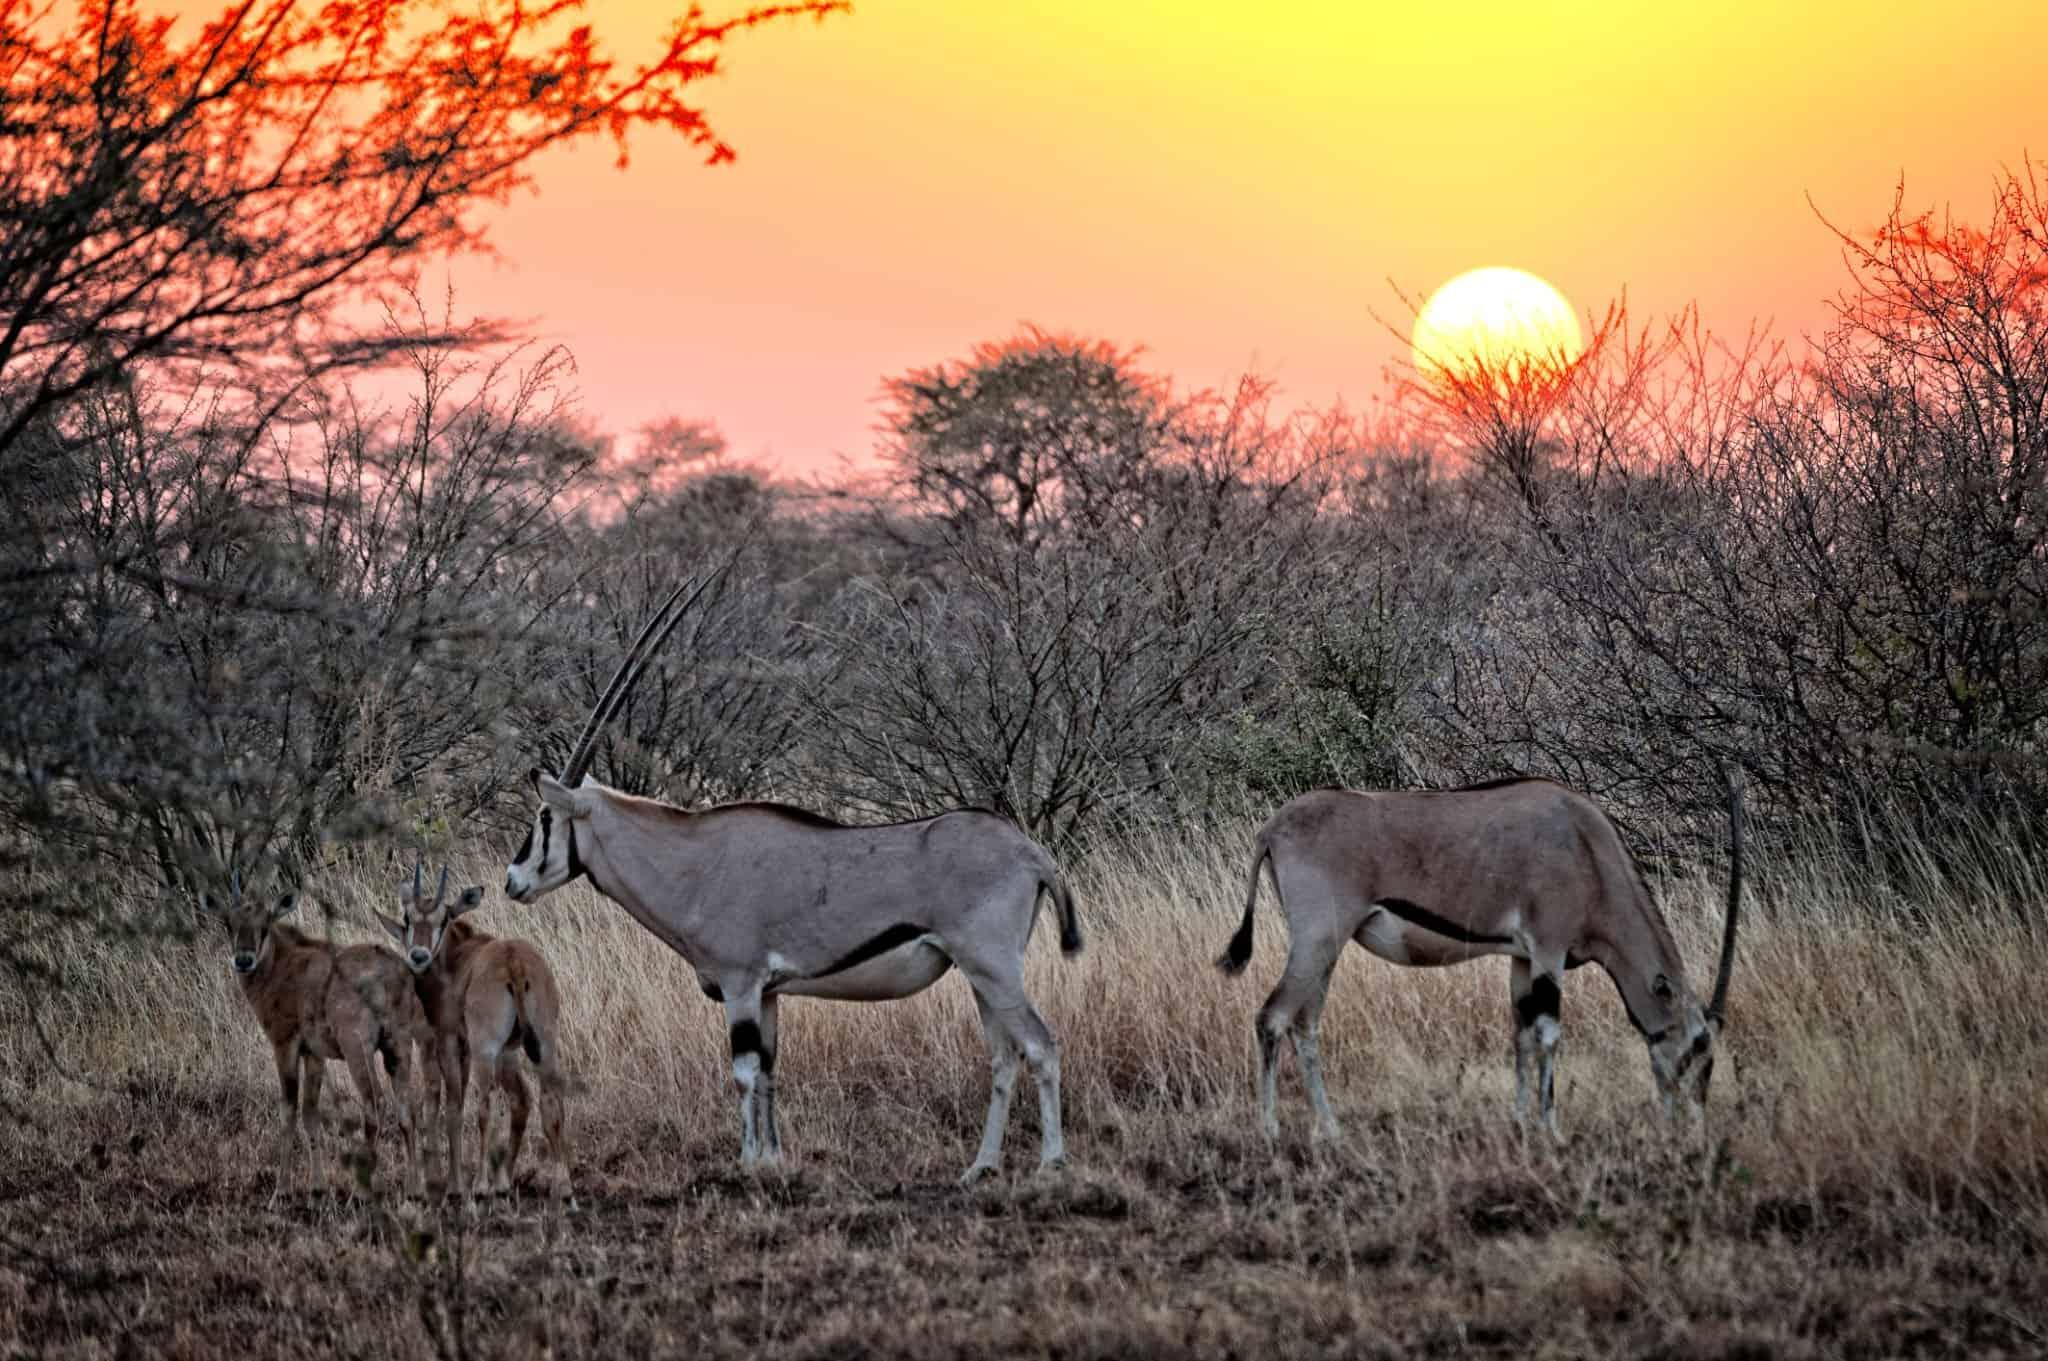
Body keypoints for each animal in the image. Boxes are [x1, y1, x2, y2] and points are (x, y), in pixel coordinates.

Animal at [205, 875, 430, 1195]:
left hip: (356, 1046)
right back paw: (413, 1187)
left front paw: (283, 1186)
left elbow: (288, 1110)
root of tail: (395, 975)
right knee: (406, 1108)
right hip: (397, 1045)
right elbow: (310, 1113)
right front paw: (318, 1185)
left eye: (264, 925)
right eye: (229, 923)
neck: (280, 966)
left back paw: (364, 1187)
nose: (243, 960)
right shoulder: (314, 1053)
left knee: (374, 1101)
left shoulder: (285, 1043)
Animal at [380, 863, 573, 1195]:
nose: (418, 956)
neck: (456, 958)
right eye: (408, 918)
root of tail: (514, 962)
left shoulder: (449, 1041)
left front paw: (454, 1183)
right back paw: (557, 1184)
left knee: (485, 1105)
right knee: (548, 1103)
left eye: (443, 918)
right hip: (541, 1044)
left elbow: (453, 1105)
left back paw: (482, 1185)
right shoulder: (486, 1049)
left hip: (487, 1049)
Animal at [1212, 773, 1744, 1137]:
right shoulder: (1549, 950)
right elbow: (1549, 1035)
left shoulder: (1523, 959)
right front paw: (1551, 1130)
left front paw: (1520, 1122)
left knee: (1305, 1025)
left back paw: (1331, 1128)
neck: (1588, 849)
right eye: (1699, 1044)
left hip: (1325, 951)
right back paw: (1271, 1130)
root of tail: (1272, 829)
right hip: (1318, 940)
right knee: (1272, 1018)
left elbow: (1521, 1035)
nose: (1692, 1121)